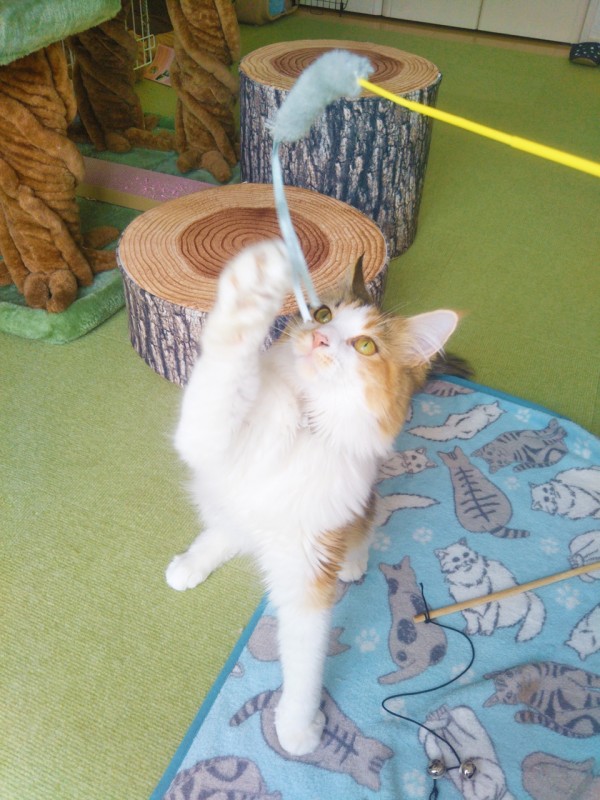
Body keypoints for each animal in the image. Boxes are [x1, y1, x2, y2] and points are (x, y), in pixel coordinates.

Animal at [165, 240, 459, 756]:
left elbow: (305, 663)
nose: (320, 338)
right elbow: (224, 370)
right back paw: (191, 563)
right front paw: (253, 286)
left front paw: (297, 728)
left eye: (365, 345)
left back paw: (354, 562)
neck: (305, 421)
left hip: (354, 509)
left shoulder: (308, 568)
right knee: (226, 530)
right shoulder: (204, 435)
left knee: (369, 520)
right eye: (323, 314)